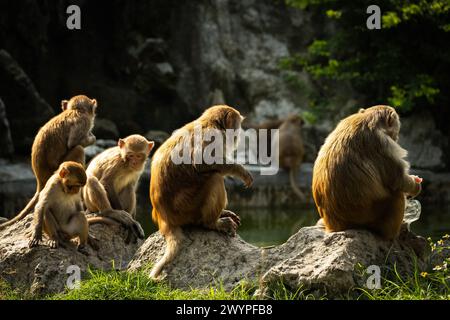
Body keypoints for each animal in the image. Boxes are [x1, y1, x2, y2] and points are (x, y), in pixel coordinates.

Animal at [0, 95, 96, 230]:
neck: (75, 110)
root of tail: (40, 180)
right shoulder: (83, 121)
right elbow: (73, 143)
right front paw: (92, 138)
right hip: (58, 168)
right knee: (78, 149)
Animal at [149, 105, 251, 278]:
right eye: (237, 125)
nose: (239, 134)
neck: (210, 123)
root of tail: (165, 219)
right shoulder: (213, 137)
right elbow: (201, 163)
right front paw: (240, 170)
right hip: (187, 208)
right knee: (215, 178)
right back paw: (211, 223)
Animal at [312, 105, 422, 240]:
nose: (397, 138)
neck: (367, 118)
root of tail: (337, 226)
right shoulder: (383, 144)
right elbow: (398, 181)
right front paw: (416, 186)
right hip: (373, 219)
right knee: (396, 194)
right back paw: (392, 233)